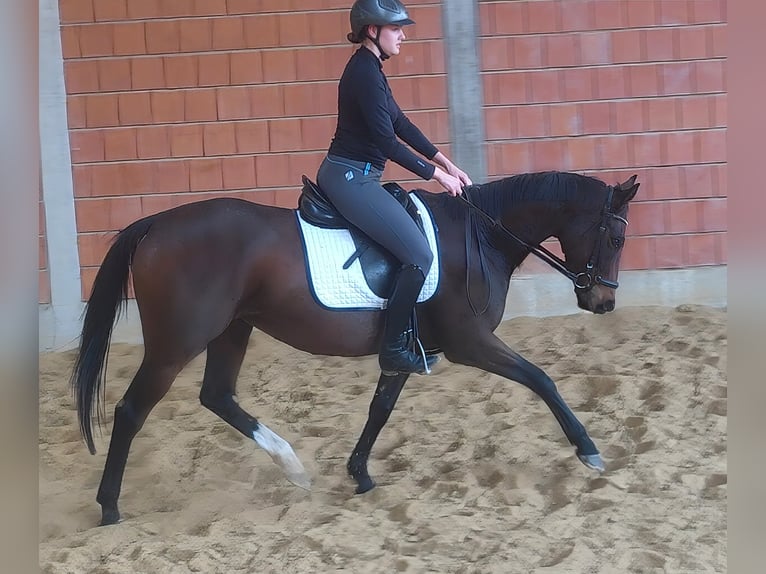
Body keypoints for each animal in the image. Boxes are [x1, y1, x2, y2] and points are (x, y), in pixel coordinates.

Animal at [70, 170, 639, 525]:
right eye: (615, 239)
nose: (604, 302)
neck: (481, 237)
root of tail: (156, 225)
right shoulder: (472, 343)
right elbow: (542, 379)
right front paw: (588, 450)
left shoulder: (406, 350)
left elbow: (380, 408)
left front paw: (360, 474)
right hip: (177, 342)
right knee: (131, 410)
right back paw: (109, 507)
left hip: (232, 330)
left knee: (217, 396)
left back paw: (293, 467)